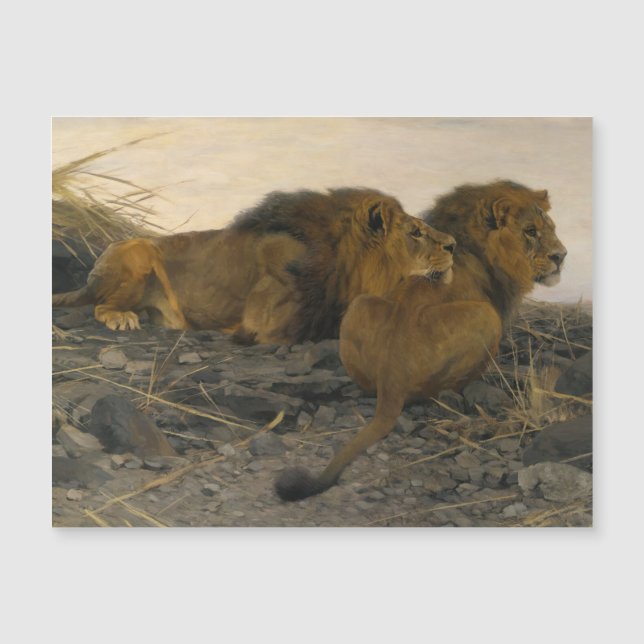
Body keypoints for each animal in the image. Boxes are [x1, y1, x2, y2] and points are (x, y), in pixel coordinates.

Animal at [52, 188, 456, 345]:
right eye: (416, 232)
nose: (454, 245)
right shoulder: (268, 322)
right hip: (138, 252)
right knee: (100, 304)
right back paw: (123, 317)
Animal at [275, 180, 567, 501]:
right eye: (530, 231)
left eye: (552, 228)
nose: (561, 256)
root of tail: (392, 372)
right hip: (485, 317)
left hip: (360, 305)